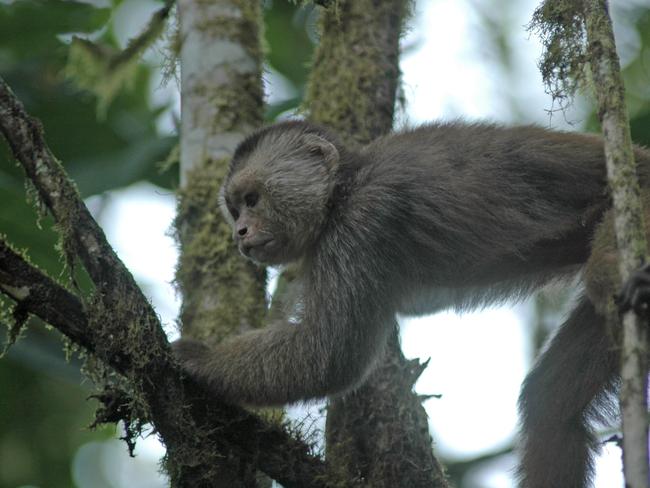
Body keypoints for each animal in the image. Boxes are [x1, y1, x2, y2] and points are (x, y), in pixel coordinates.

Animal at [171, 119, 648, 488]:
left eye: (252, 200)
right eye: (235, 210)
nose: (240, 233)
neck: (344, 188)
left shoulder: (361, 222)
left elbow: (330, 357)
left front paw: (196, 361)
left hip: (638, 200)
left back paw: (611, 273)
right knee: (550, 404)